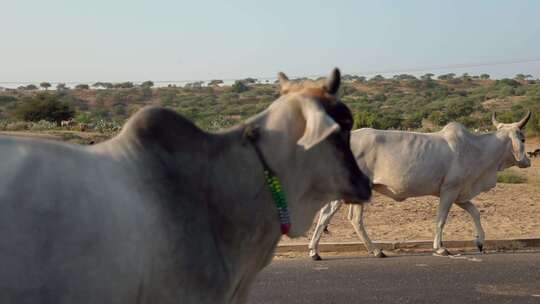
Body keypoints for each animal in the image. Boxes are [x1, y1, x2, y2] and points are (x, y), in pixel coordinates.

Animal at [308, 111, 532, 258]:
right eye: (522, 138)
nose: (528, 161)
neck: (477, 150)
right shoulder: (449, 190)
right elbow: (441, 219)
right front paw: (440, 248)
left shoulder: (460, 193)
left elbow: (475, 213)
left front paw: (480, 242)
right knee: (333, 215)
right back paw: (316, 251)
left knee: (348, 218)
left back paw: (372, 250)